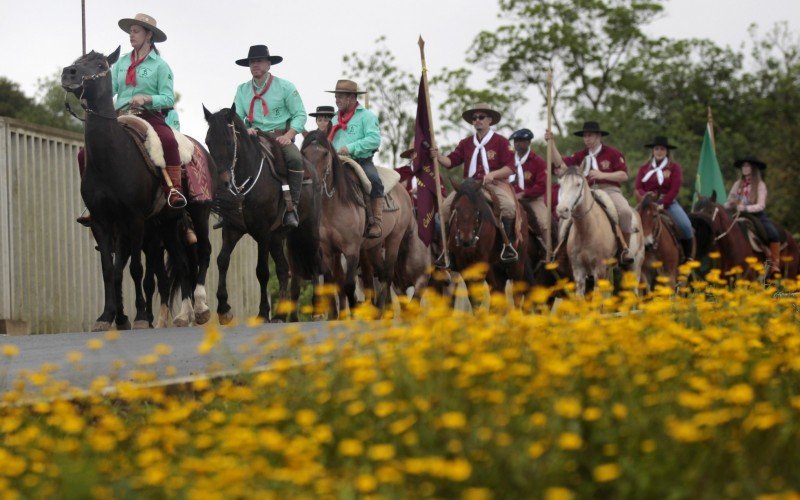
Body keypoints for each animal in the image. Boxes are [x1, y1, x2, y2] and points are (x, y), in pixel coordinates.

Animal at [61, 47, 202, 332]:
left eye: (100, 64)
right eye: (79, 60)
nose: (68, 73)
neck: (110, 160)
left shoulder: (134, 221)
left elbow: (136, 270)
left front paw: (139, 317)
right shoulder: (103, 222)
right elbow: (109, 270)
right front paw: (107, 316)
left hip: (177, 221)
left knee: (186, 264)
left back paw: (188, 314)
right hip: (164, 226)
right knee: (177, 266)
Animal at [203, 107, 322, 322]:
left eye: (229, 142)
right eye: (208, 141)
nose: (222, 183)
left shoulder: (262, 233)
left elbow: (262, 271)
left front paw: (262, 312)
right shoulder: (232, 229)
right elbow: (222, 260)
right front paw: (224, 308)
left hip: (308, 230)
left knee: (315, 262)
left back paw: (316, 310)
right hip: (278, 237)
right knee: (284, 270)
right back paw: (281, 314)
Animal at [298, 130, 412, 316]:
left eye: (325, 153)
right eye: (304, 153)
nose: (310, 178)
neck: (333, 205)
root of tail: (402, 190)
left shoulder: (351, 249)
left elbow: (349, 285)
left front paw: (354, 311)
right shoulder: (327, 250)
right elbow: (331, 283)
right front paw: (335, 316)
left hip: (394, 238)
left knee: (387, 274)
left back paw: (382, 310)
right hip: (373, 246)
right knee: (380, 273)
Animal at [556, 164, 644, 296]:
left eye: (578, 184)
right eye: (561, 184)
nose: (562, 210)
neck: (586, 230)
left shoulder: (599, 270)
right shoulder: (579, 272)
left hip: (634, 267)